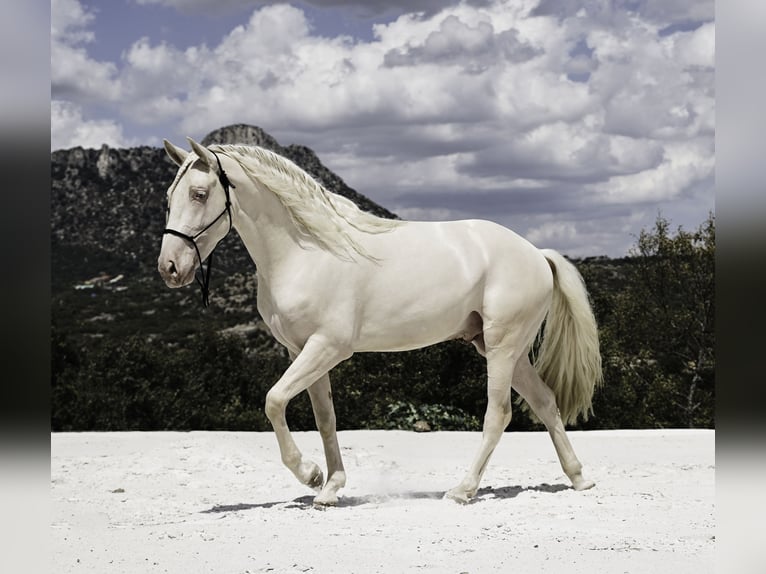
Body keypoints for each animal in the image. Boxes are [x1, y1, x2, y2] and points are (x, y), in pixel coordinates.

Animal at [157, 137, 603, 506]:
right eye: (168, 197)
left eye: (199, 194)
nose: (169, 268)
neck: (306, 251)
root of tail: (536, 253)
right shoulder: (304, 350)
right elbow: (325, 418)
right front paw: (330, 488)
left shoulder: (328, 347)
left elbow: (274, 400)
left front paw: (310, 474)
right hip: (502, 348)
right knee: (545, 402)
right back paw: (579, 479)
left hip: (501, 347)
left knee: (499, 414)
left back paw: (462, 491)